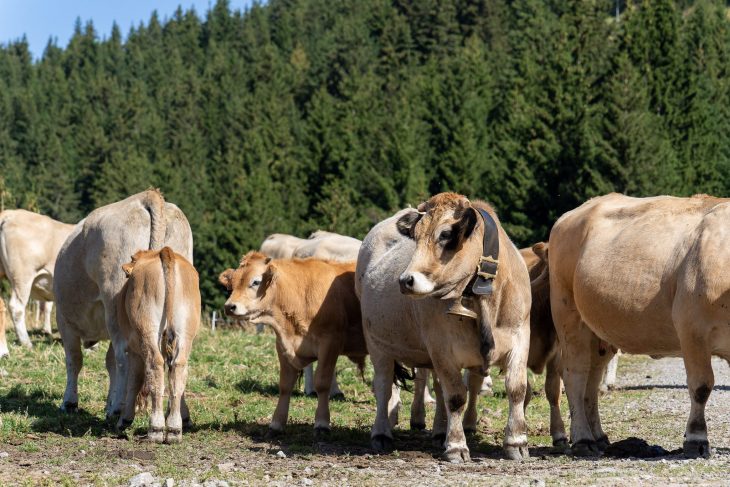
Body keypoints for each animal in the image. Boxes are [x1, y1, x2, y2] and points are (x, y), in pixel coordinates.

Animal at [53, 189, 192, 418]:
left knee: (123, 357)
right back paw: (179, 413)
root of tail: (146, 196)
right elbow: (109, 363)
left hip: (114, 305)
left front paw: (70, 402)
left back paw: (118, 409)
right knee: (176, 358)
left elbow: (74, 359)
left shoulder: (64, 320)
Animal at [117, 250, 202, 444]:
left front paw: (125, 419)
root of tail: (165, 251)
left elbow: (134, 381)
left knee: (154, 366)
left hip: (147, 330)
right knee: (178, 369)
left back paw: (155, 429)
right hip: (185, 333)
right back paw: (174, 429)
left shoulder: (134, 349)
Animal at [216, 254, 364, 436]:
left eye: (256, 282)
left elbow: (322, 383)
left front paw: (322, 423)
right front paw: (276, 423)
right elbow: (285, 385)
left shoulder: (330, 342)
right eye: (233, 282)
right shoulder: (283, 345)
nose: (229, 306)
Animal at [544, 193, 728, 460]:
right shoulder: (692, 329)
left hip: (599, 330)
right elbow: (701, 386)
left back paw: (599, 437)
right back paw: (583, 439)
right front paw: (697, 439)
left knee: (593, 377)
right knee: (574, 374)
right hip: (567, 311)